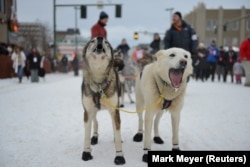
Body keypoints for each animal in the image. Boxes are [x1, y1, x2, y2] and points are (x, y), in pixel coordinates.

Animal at [81, 36, 126, 164]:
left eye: (106, 42)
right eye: (92, 40)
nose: (100, 38)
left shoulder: (114, 111)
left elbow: (117, 131)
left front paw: (119, 156)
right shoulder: (87, 111)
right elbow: (86, 134)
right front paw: (86, 152)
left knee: (114, 125)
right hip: (93, 111)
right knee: (95, 122)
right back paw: (95, 136)